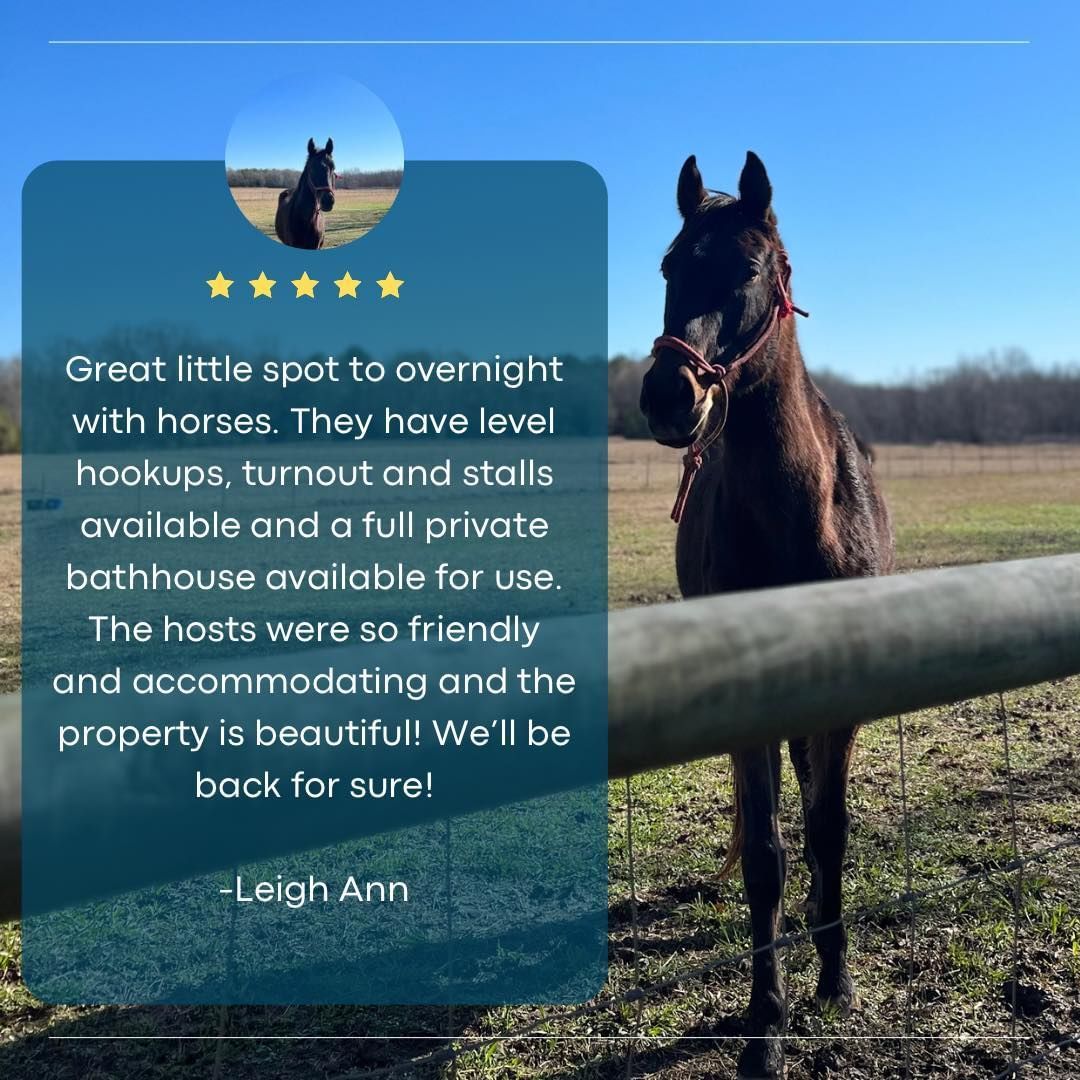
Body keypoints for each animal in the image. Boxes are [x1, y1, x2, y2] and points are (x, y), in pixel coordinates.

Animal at [638, 151, 894, 1079]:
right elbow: (767, 854)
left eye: (749, 267)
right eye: (670, 267)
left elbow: (828, 829)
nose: (668, 395)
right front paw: (765, 1019)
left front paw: (836, 975)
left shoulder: (842, 701)